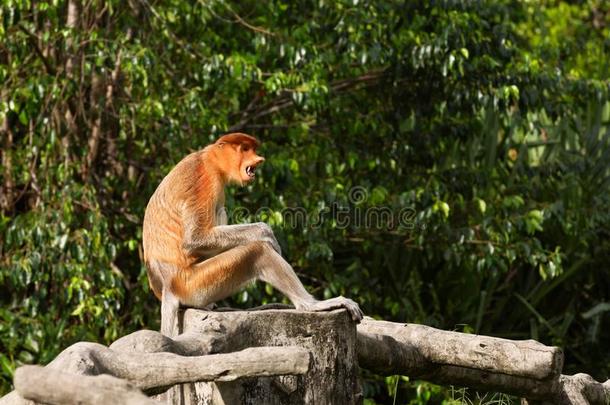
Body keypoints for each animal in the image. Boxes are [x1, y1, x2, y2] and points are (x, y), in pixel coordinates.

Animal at [142, 133, 360, 334]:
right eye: (245, 149)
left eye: (253, 149)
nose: (259, 159)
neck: (210, 160)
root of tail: (168, 286)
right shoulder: (203, 179)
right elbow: (194, 239)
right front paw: (268, 235)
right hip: (194, 284)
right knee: (258, 252)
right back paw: (311, 305)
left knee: (221, 211)